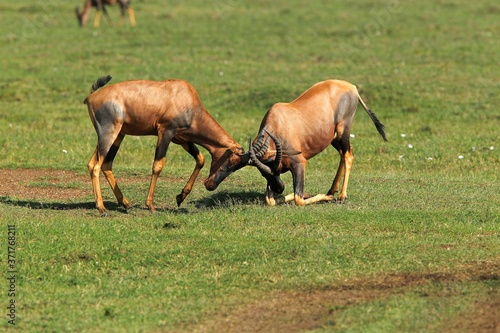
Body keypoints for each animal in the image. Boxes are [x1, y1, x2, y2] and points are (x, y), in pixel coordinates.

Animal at [85, 75, 247, 215]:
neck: (185, 98)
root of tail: (92, 96)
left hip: (117, 135)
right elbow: (158, 165)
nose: (210, 186)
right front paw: (150, 205)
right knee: (96, 165)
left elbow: (200, 159)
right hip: (109, 134)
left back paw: (125, 203)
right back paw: (102, 209)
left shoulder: (182, 139)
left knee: (103, 164)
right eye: (231, 161)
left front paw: (180, 197)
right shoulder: (165, 132)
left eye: (237, 165)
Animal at [205, 80, 388, 205]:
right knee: (343, 154)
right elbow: (271, 201)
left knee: (348, 154)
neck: (279, 124)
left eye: (276, 169)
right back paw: (332, 190)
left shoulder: (300, 163)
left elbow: (298, 199)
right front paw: (309, 194)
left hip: (343, 131)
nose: (279, 188)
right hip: (333, 138)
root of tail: (351, 87)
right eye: (264, 173)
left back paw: (340, 196)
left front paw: (322, 196)